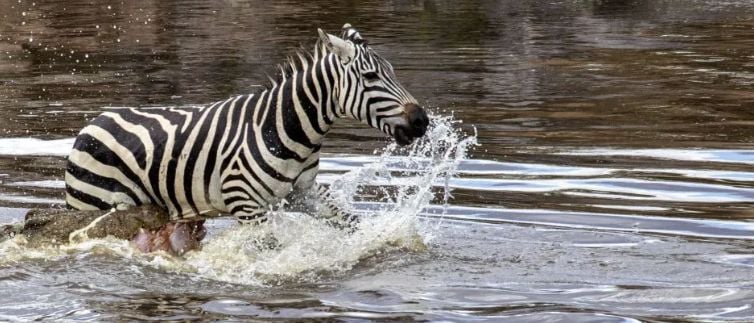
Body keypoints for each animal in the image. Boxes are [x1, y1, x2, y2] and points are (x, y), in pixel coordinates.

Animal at [63, 24, 428, 254]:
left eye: (392, 72)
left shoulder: (303, 193)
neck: (288, 129)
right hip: (92, 204)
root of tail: (94, 122)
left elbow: (352, 222)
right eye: (370, 77)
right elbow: (271, 249)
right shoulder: (245, 203)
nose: (421, 121)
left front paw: (390, 242)